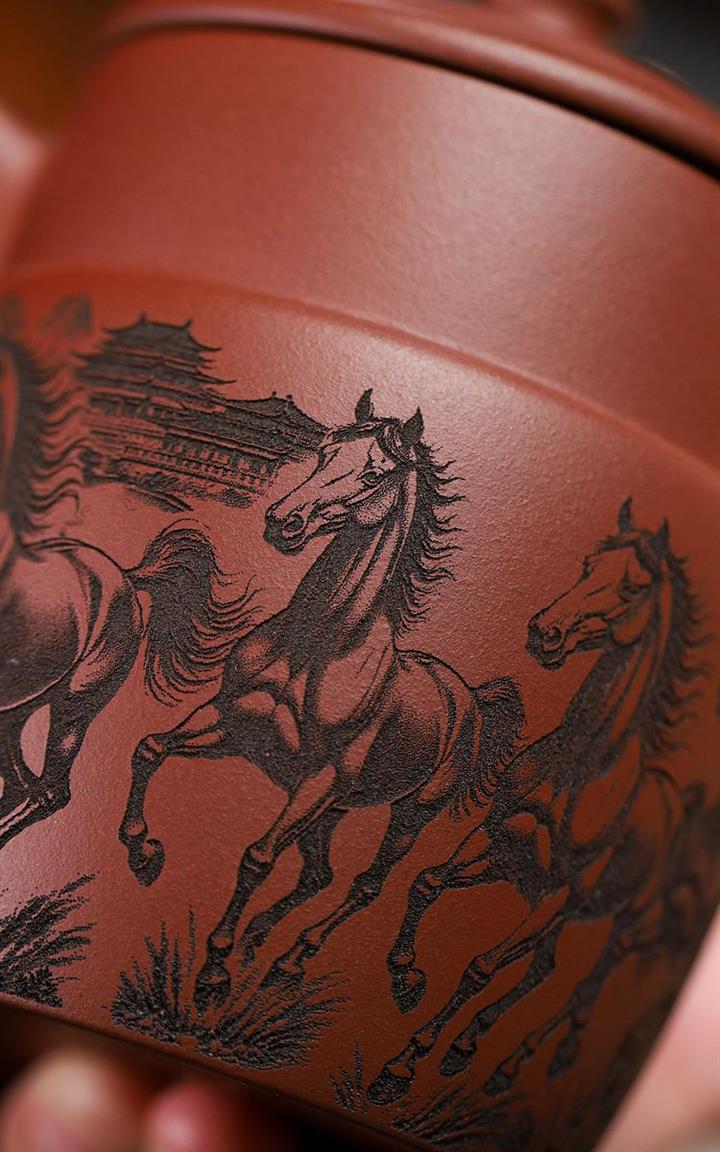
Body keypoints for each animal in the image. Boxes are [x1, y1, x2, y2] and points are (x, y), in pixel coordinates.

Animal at [118, 389, 525, 1010]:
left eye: (376, 473)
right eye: (326, 451)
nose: (284, 521)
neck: (315, 645)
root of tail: (469, 699)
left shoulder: (319, 779)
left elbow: (258, 858)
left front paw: (214, 972)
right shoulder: (228, 725)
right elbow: (149, 748)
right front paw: (143, 851)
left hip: (409, 811)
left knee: (366, 885)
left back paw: (306, 961)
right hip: (334, 811)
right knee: (319, 875)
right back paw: (260, 940)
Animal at [369, 500, 709, 1104]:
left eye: (632, 587)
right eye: (588, 564)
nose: (545, 632)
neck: (577, 769)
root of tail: (680, 807)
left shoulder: (558, 896)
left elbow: (480, 967)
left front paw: (402, 1066)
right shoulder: (498, 845)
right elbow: (426, 883)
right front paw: (407, 980)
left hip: (623, 923)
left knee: (582, 988)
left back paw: (524, 1061)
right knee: (543, 971)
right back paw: (471, 1051)